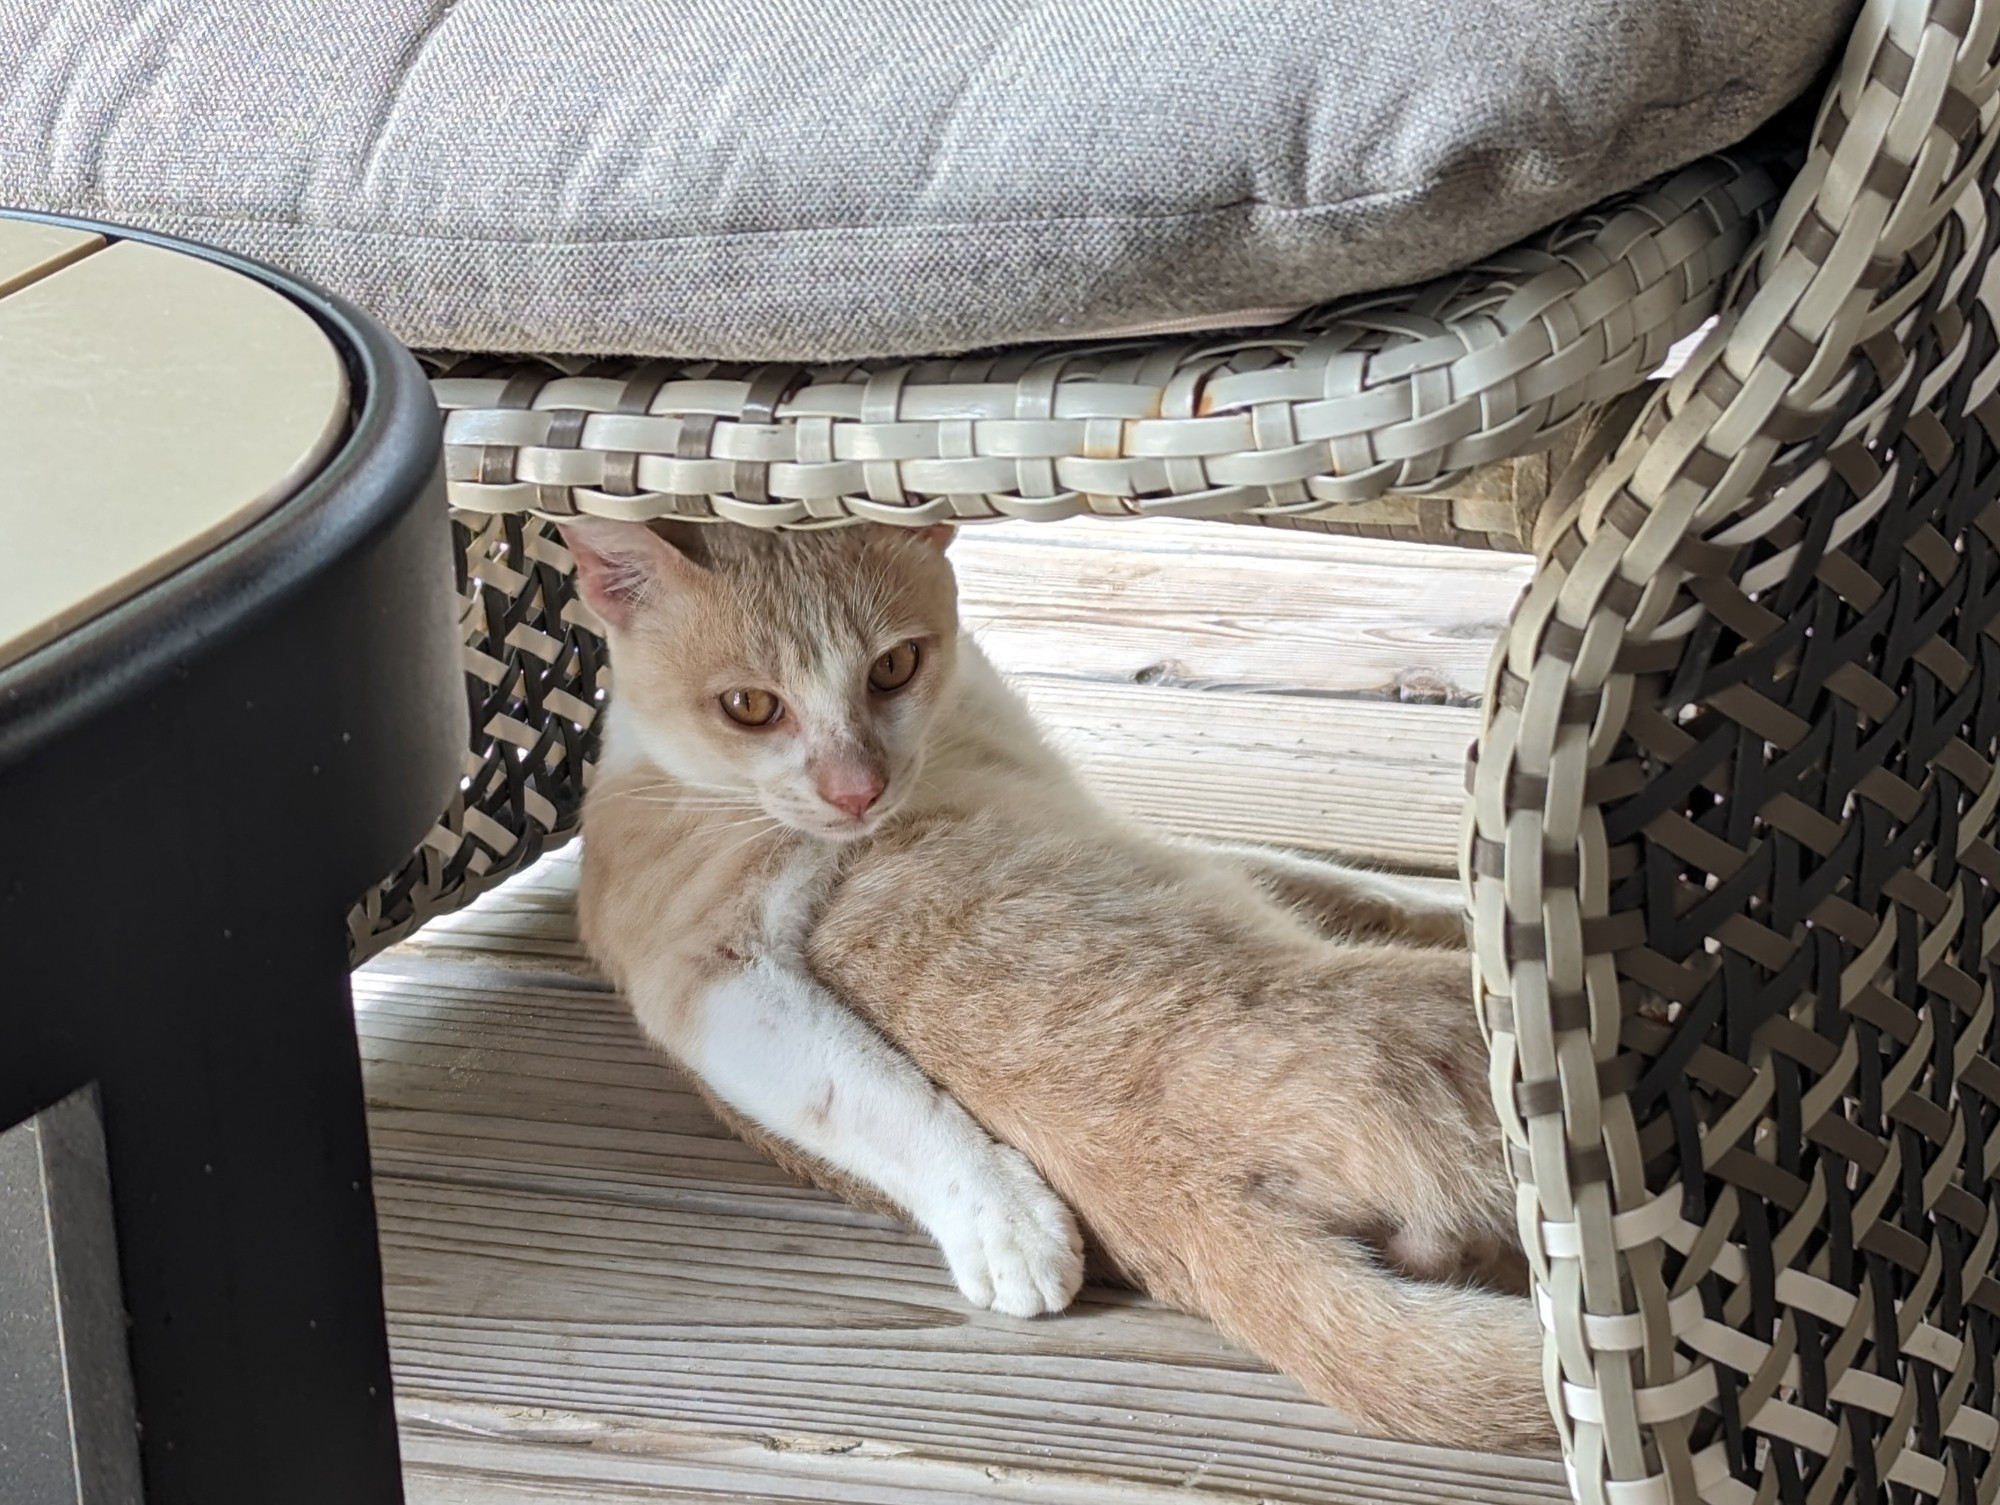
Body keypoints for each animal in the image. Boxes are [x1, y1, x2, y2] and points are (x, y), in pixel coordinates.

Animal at [564, 512, 1560, 1448]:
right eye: (748, 706)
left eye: (893, 667)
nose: (857, 789)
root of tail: (1205, 1212)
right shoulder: (706, 973)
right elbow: (866, 1093)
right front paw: (1005, 1221)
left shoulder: (1128, 825)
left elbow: (1325, 878)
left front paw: (1445, 900)